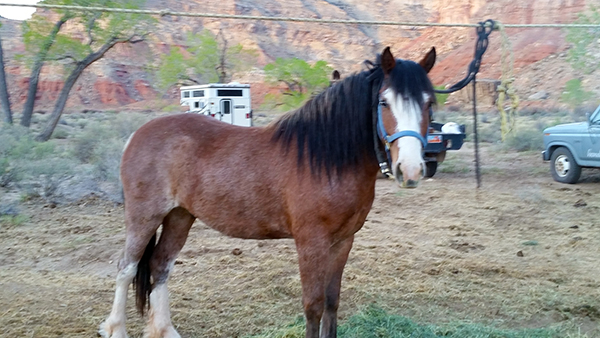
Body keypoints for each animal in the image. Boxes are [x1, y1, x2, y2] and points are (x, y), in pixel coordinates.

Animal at [97, 45, 436, 338]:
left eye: (429, 102)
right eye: (384, 102)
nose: (410, 169)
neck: (326, 160)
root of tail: (138, 134)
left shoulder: (343, 241)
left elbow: (332, 301)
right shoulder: (311, 243)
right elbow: (313, 305)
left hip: (180, 216)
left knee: (160, 265)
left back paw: (164, 330)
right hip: (144, 216)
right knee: (126, 268)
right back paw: (115, 329)